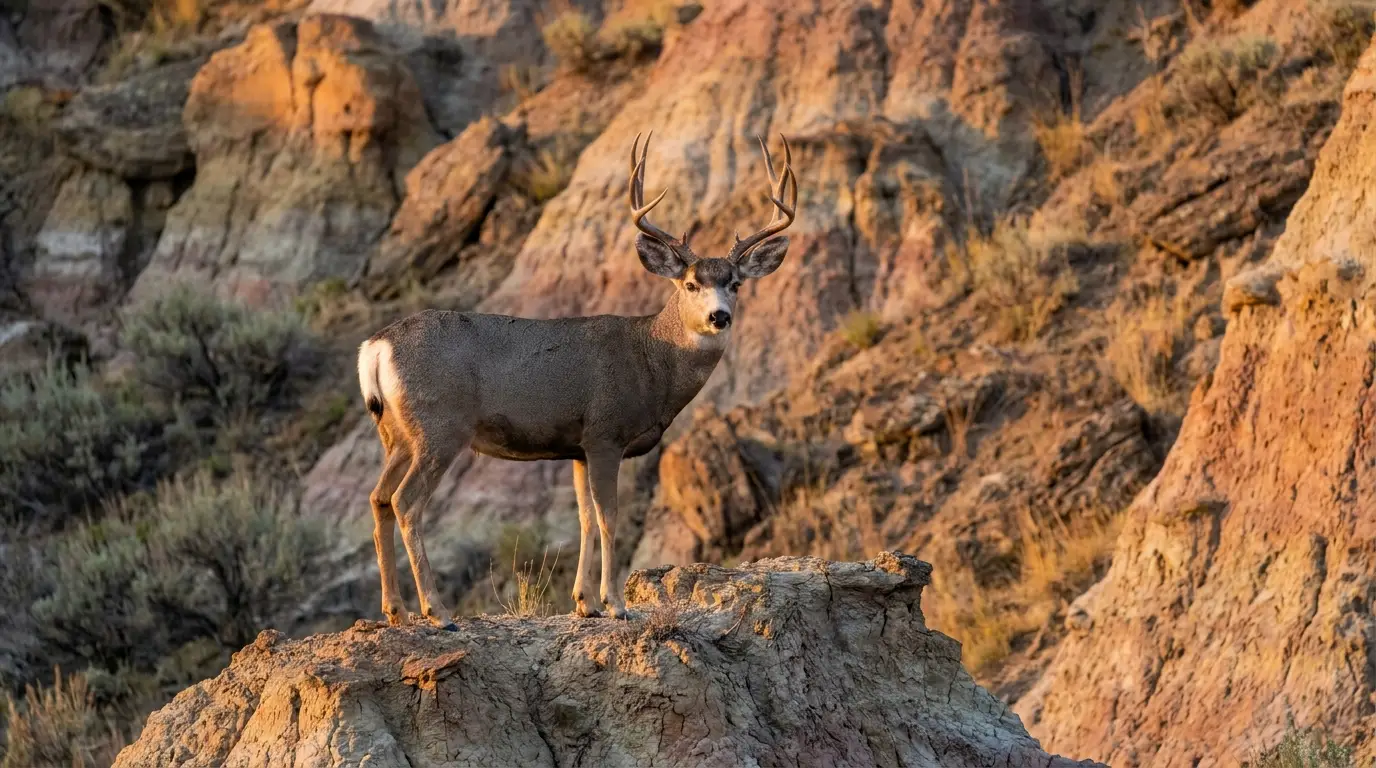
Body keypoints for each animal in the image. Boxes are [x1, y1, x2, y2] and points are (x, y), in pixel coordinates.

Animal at [356, 133, 797, 626]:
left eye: (736, 283)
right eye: (689, 284)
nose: (719, 316)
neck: (651, 359)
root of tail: (375, 346)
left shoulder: (578, 446)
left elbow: (584, 518)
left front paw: (585, 602)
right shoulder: (606, 432)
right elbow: (608, 516)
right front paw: (616, 603)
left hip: (396, 433)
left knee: (378, 498)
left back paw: (394, 610)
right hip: (440, 426)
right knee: (405, 502)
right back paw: (437, 611)